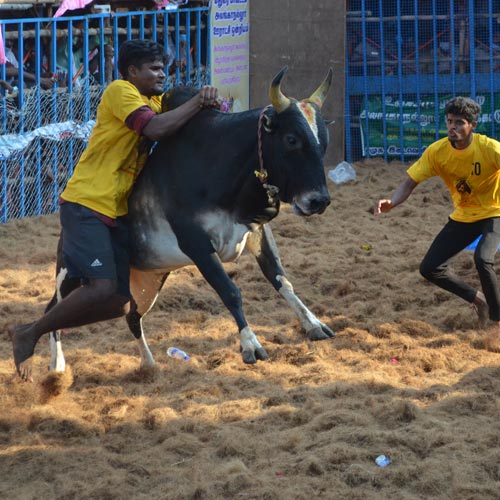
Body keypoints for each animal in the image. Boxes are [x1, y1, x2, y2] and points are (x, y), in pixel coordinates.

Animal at [47, 65, 336, 372]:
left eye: (324, 142)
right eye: (291, 139)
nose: (318, 200)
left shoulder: (257, 231)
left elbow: (281, 278)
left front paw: (313, 323)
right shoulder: (195, 242)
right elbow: (230, 291)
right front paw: (251, 344)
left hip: (148, 277)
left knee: (132, 315)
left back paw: (148, 364)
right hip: (75, 274)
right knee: (54, 308)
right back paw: (57, 366)